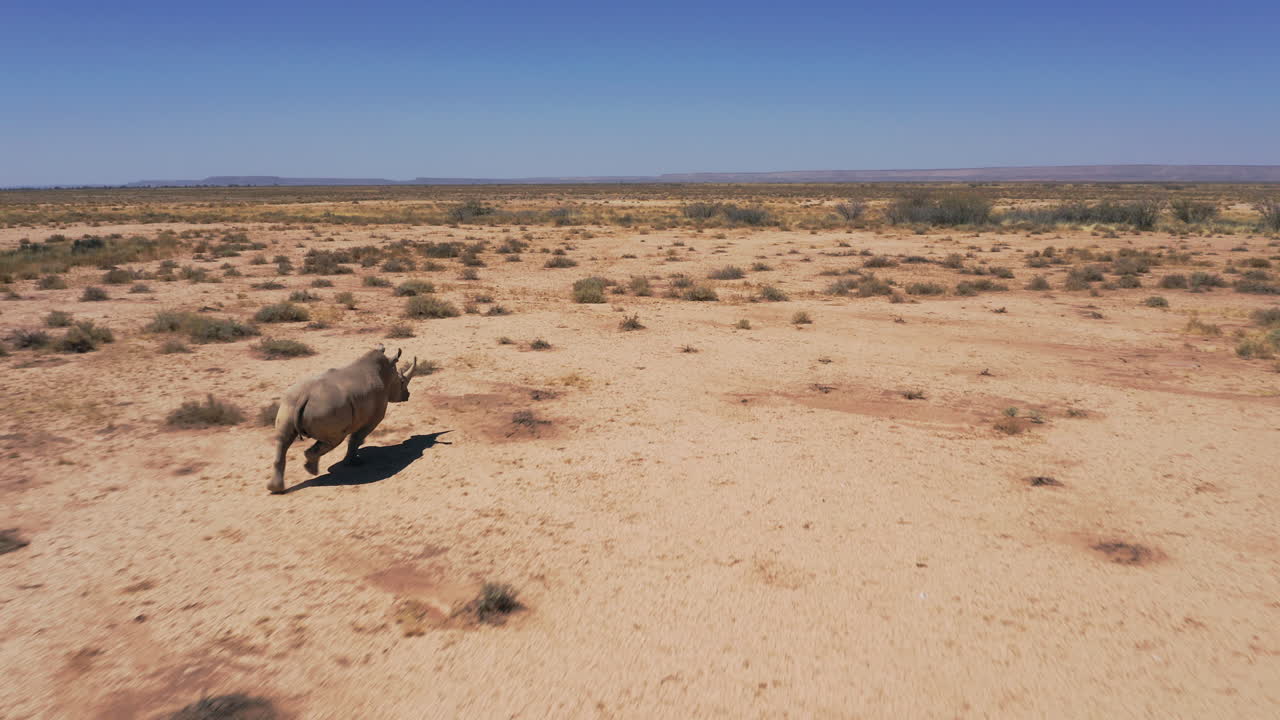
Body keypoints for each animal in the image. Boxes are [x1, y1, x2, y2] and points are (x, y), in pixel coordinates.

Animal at [269, 345, 420, 493]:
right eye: (402, 381)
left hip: (290, 401)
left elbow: (355, 438)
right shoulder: (374, 416)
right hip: (328, 409)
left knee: (282, 440)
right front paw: (353, 462)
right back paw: (311, 470)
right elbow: (357, 438)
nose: (407, 395)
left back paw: (276, 488)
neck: (387, 373)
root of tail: (304, 397)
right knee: (334, 439)